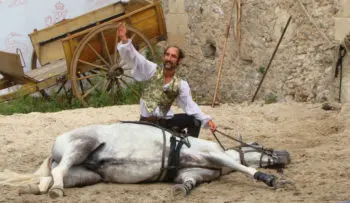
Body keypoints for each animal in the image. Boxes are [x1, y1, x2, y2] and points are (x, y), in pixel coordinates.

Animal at [0, 121, 290, 197]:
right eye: (258, 145)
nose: (286, 154)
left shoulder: (192, 172)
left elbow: (188, 182)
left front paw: (182, 190)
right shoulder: (209, 153)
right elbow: (240, 166)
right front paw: (270, 179)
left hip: (85, 175)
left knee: (48, 178)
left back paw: (32, 189)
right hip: (80, 146)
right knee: (57, 174)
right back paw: (56, 191)